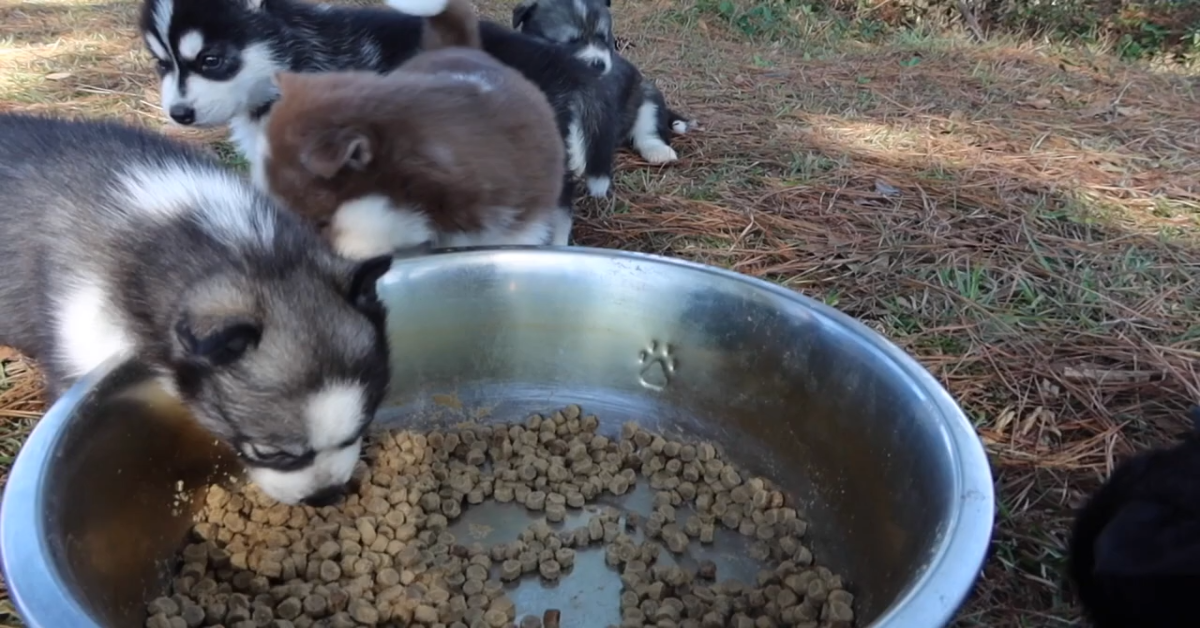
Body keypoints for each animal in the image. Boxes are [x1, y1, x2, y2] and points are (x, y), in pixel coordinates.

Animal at [508, 0, 691, 165]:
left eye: (603, 38)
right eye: (570, 42)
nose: (598, 63)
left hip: (647, 97)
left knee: (648, 131)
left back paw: (659, 151)